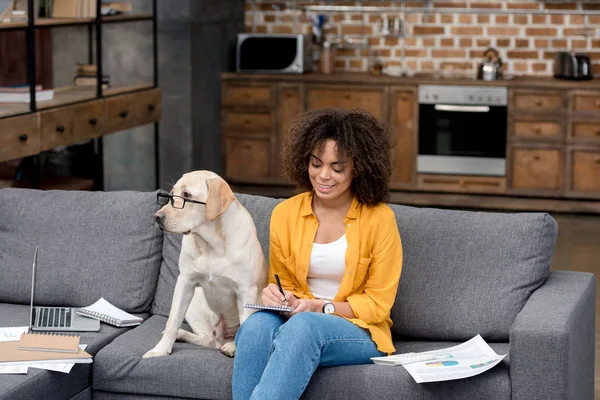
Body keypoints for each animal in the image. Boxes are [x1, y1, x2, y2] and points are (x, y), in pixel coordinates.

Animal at [142, 170, 266, 358]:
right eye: (171, 195)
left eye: (186, 195)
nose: (157, 217)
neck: (211, 244)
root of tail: (224, 337)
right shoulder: (185, 282)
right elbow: (172, 322)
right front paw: (161, 349)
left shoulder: (247, 290)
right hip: (194, 303)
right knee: (207, 339)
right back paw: (182, 334)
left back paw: (231, 346)